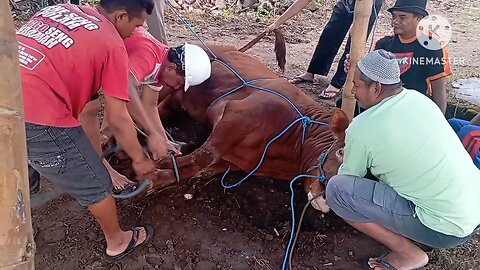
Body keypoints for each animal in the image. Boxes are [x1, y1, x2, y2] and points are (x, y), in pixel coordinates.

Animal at [137, 35, 350, 209]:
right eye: (341, 152)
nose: (328, 197)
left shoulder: (237, 162)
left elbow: (200, 168)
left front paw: (157, 177)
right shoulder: (237, 113)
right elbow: (204, 155)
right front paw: (162, 161)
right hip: (166, 84)